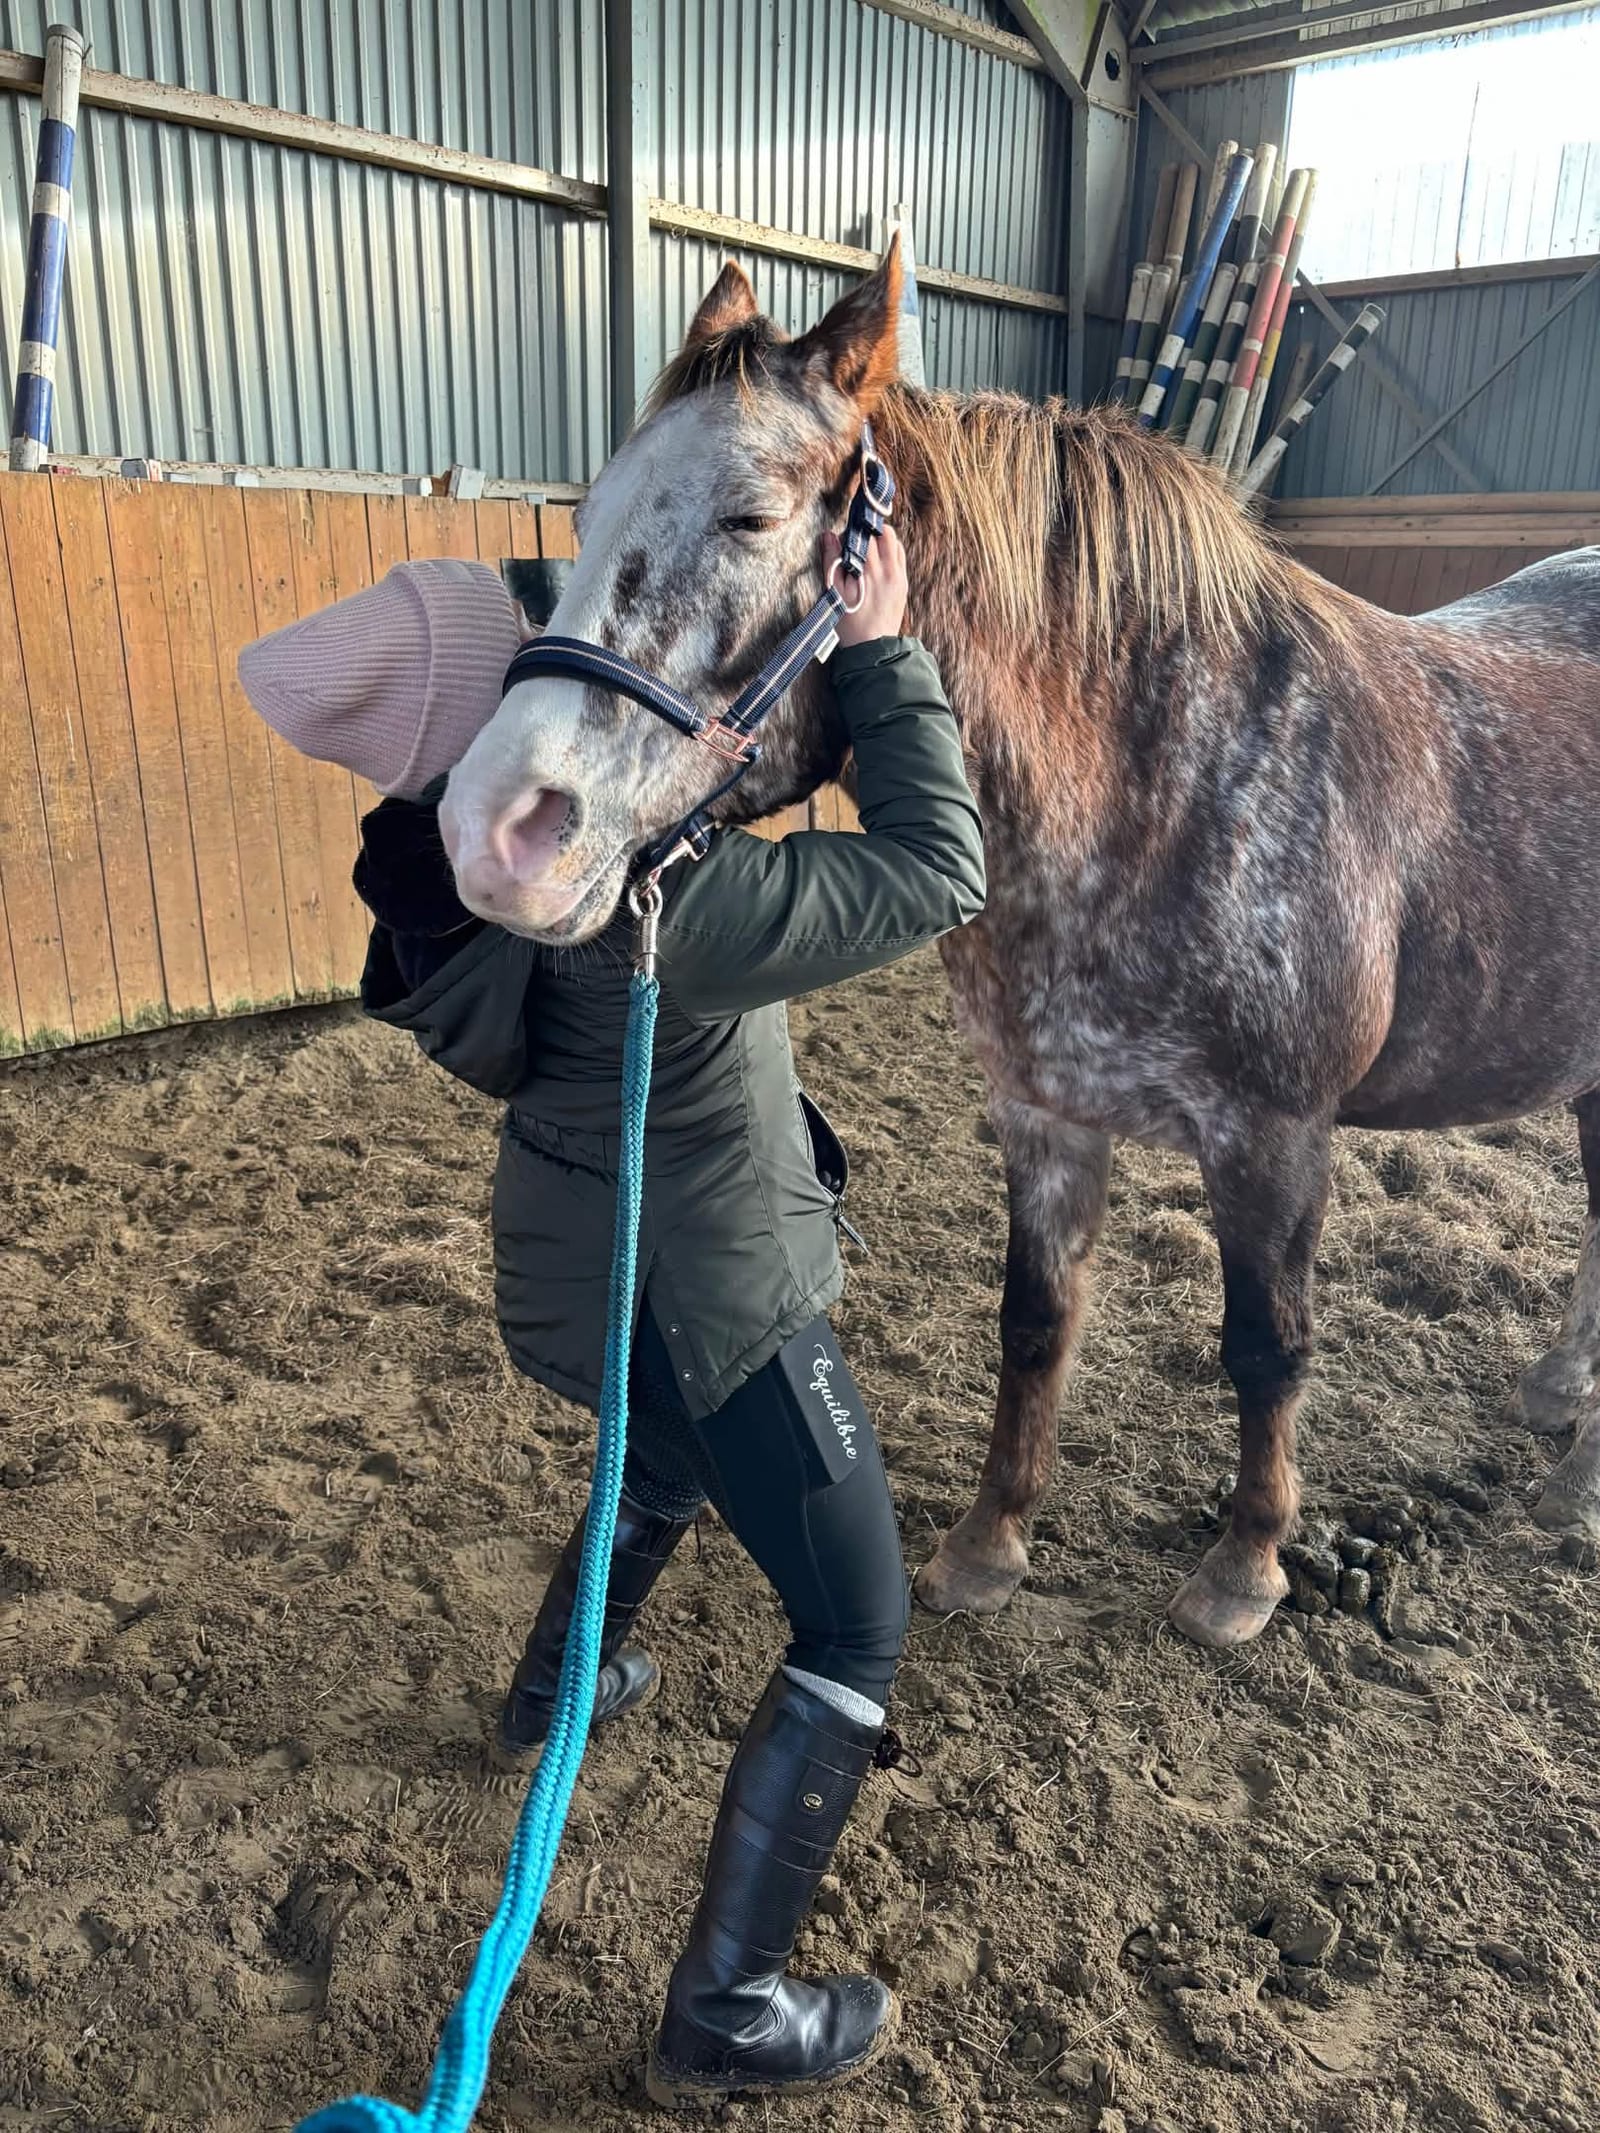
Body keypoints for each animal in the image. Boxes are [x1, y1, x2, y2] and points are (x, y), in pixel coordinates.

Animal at [440, 241, 1600, 1650]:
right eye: (586, 514)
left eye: (750, 520)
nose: (494, 828)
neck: (1167, 777)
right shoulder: (1043, 1115)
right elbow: (1035, 1322)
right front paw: (988, 1547)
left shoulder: (1274, 1136)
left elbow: (1266, 1343)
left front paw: (1243, 1567)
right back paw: (1561, 1395)